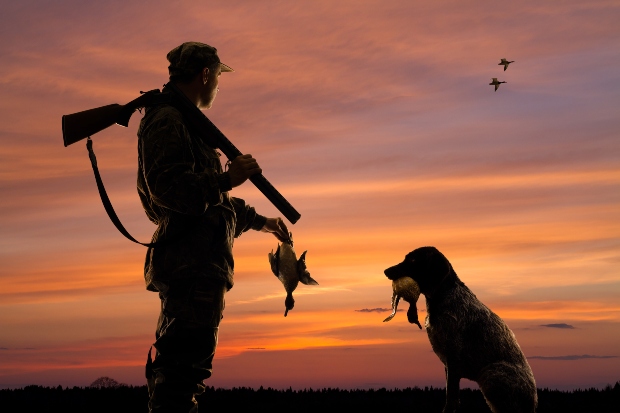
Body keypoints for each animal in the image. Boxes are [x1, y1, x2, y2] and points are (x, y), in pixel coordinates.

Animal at [382, 246, 536, 410]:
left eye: (412, 260)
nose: (386, 271)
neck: (442, 295)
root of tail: (532, 403)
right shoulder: (448, 363)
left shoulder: (453, 356)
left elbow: (451, 396)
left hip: (491, 373)